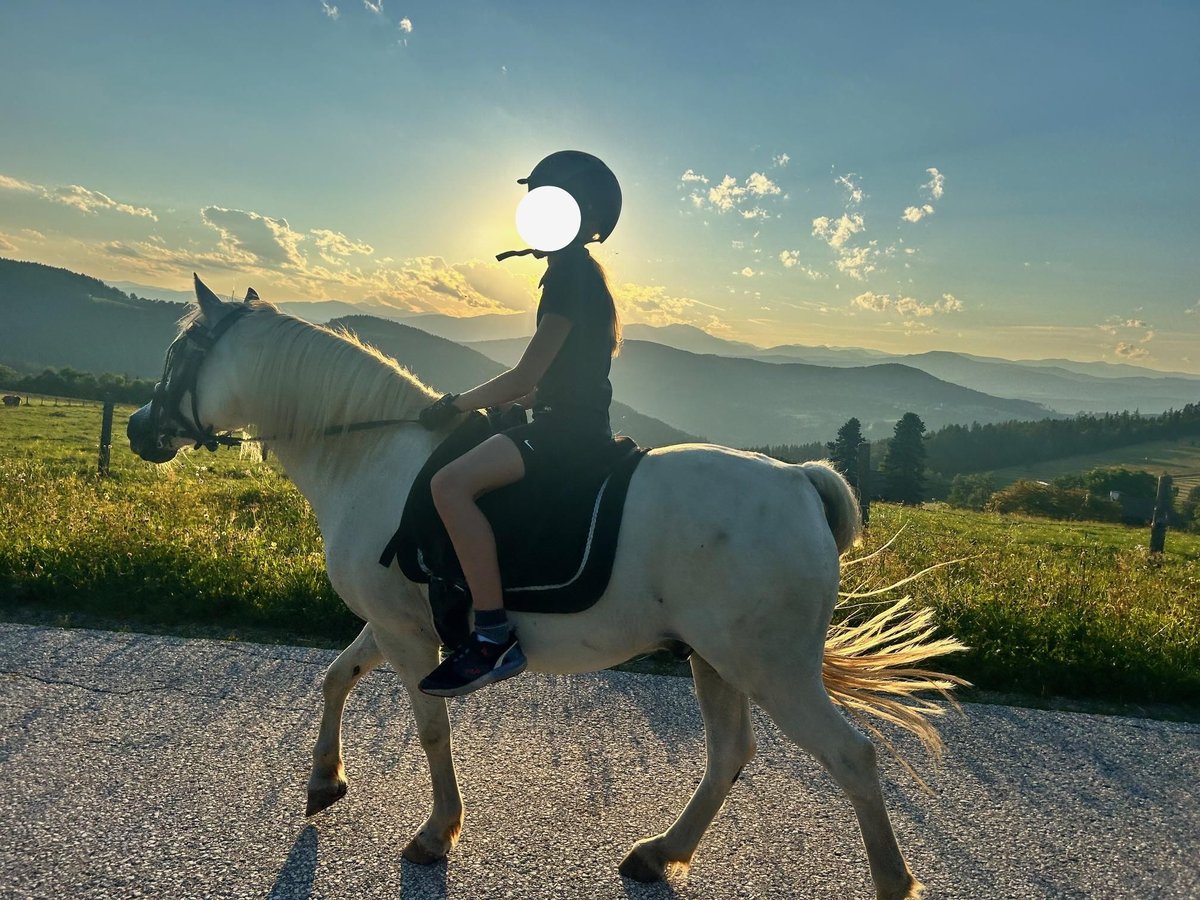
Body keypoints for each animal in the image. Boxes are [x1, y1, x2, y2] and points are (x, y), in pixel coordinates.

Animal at [126, 278, 960, 897]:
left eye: (177, 355)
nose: (137, 429)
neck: (369, 455)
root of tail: (798, 481)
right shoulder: (393, 620)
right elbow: (336, 677)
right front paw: (325, 780)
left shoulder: (407, 634)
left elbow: (429, 725)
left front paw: (436, 832)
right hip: (715, 659)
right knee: (730, 752)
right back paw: (659, 853)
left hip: (771, 667)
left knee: (851, 757)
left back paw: (891, 883)